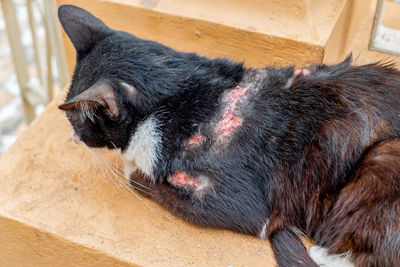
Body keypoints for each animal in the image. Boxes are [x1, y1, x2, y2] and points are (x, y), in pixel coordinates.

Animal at [57, 4, 400, 267]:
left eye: (77, 123)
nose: (73, 139)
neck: (186, 95)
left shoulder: (247, 207)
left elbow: (143, 180)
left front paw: (132, 167)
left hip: (383, 158)